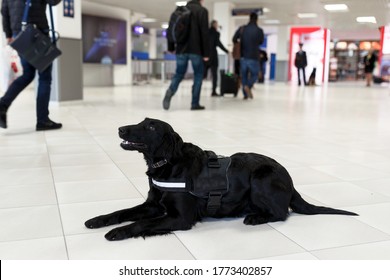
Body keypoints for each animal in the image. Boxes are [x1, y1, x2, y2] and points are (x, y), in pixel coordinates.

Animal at [84, 117, 356, 240]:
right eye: (141, 121)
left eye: (150, 127)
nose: (120, 129)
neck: (168, 165)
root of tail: (290, 180)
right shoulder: (152, 205)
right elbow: (122, 212)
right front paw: (98, 220)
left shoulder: (180, 218)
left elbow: (142, 224)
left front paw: (118, 232)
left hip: (260, 178)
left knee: (282, 213)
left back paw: (255, 217)